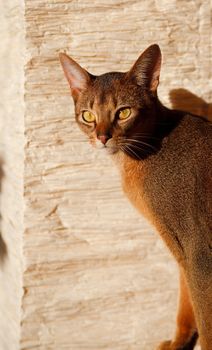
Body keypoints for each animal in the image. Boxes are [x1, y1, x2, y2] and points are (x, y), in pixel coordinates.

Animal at [58, 45, 211, 348]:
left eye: (124, 112)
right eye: (88, 116)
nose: (102, 137)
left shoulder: (198, 251)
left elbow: (205, 320)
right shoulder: (182, 252)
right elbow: (186, 307)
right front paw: (178, 343)